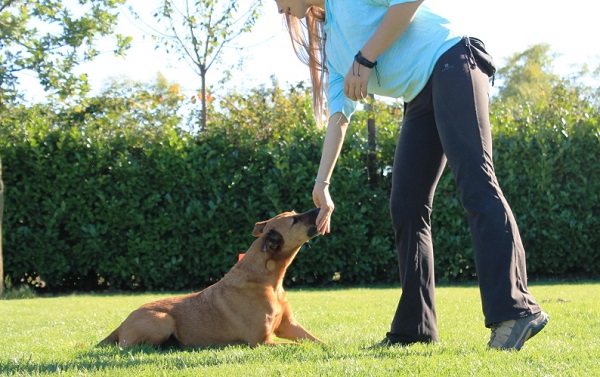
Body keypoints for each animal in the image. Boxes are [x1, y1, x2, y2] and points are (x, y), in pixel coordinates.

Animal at [98, 209, 324, 346]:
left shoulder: (289, 325)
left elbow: (316, 341)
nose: (318, 210)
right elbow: (297, 346)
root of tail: (121, 326)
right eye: (295, 220)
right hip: (163, 320)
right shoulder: (262, 341)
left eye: (295, 214)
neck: (267, 280)